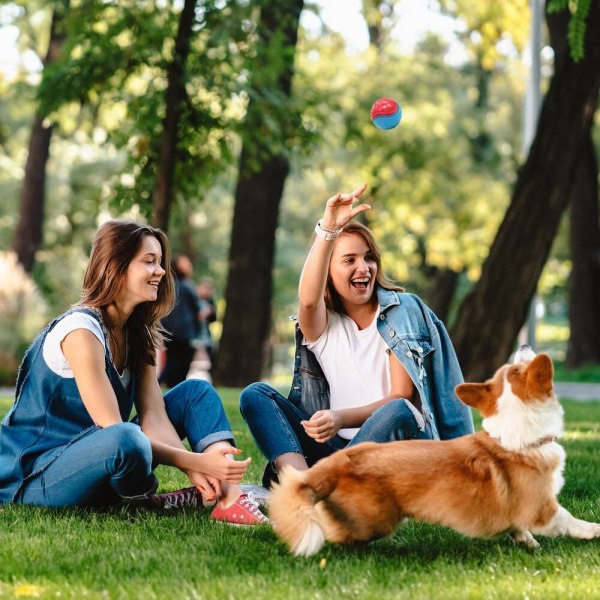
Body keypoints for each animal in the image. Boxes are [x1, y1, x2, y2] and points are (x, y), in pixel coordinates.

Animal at [270, 346, 600, 556]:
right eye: (518, 367)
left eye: (509, 369)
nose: (525, 342)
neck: (517, 431)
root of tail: (336, 463)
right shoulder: (543, 509)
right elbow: (568, 519)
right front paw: (593, 530)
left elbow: (520, 529)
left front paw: (528, 543)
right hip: (373, 521)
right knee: (331, 531)